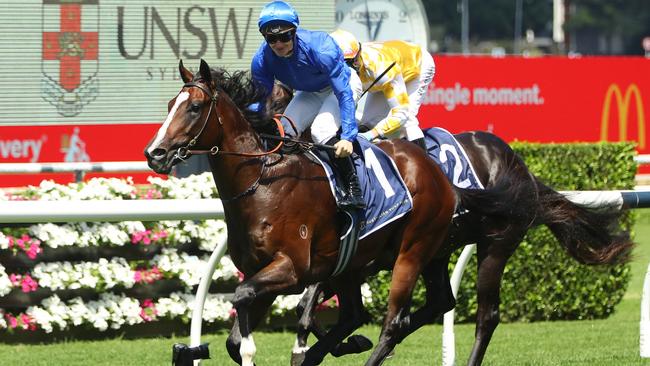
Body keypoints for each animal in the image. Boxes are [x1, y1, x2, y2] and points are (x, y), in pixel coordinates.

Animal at [143, 60, 528, 366]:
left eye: (194, 107)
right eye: (170, 105)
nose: (155, 153)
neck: (263, 183)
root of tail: (440, 176)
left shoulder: (293, 269)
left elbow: (255, 305)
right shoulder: (266, 271)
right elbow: (237, 337)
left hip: (438, 250)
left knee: (408, 321)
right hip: (376, 261)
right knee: (392, 309)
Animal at [290, 114, 632, 364]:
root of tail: (520, 165)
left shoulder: (365, 259)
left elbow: (319, 306)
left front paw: (325, 345)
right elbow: (308, 304)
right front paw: (327, 345)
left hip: (496, 244)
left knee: (486, 315)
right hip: (438, 252)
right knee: (442, 300)